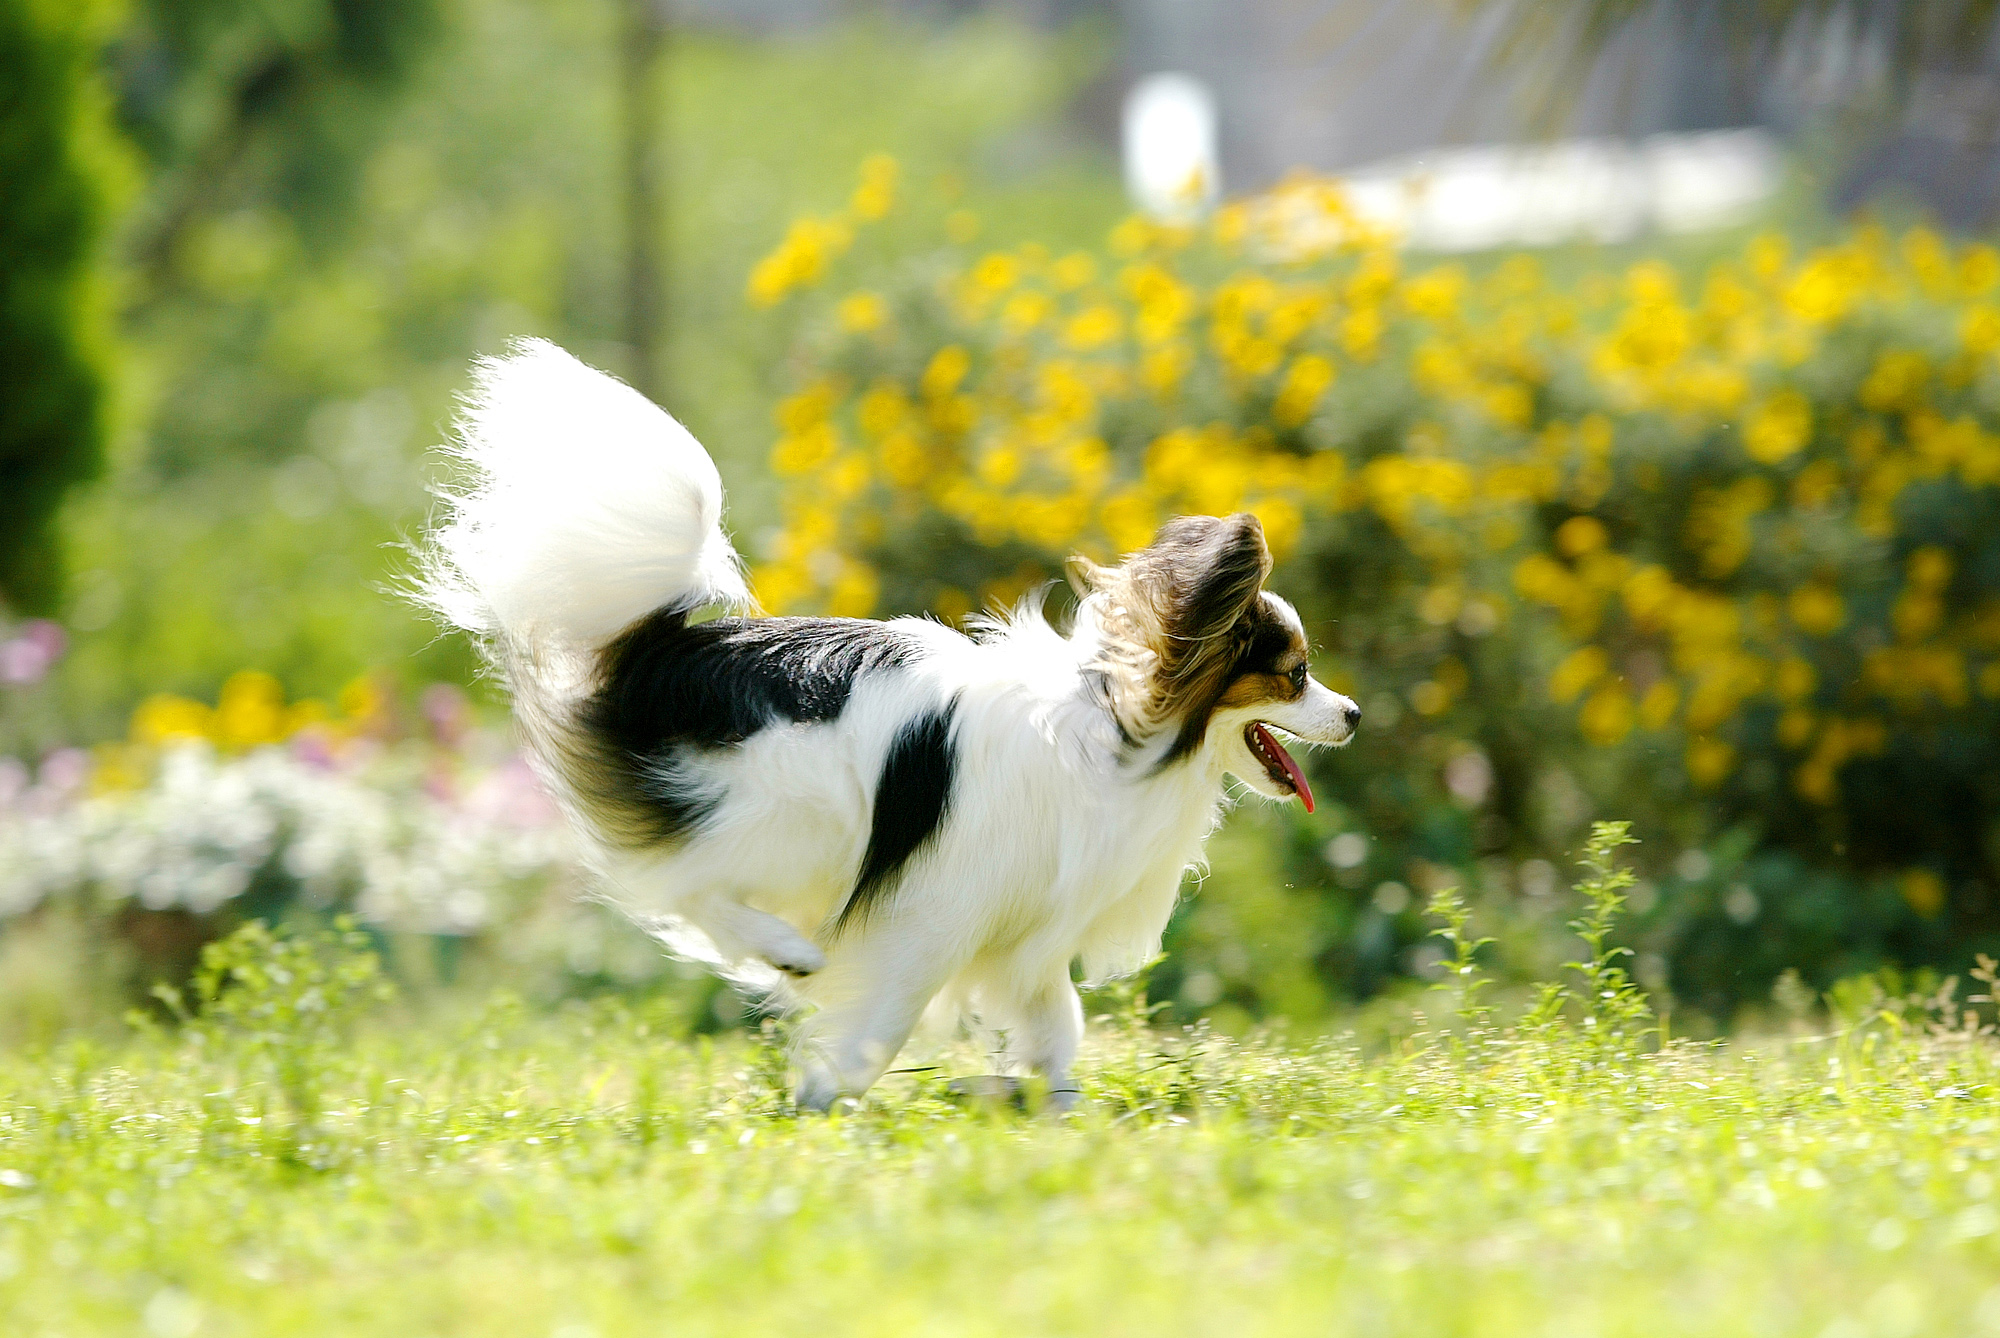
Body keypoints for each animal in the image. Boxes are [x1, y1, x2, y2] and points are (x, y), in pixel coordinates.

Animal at [420, 336, 1360, 1104]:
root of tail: (669, 651)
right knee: (683, 883)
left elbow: (1057, 1032)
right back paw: (786, 950)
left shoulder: (1025, 939)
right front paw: (826, 1095)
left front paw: (1059, 1112)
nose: (1353, 713)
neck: (1121, 733)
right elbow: (885, 1021)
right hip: (795, 819)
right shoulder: (933, 915)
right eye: (1294, 677)